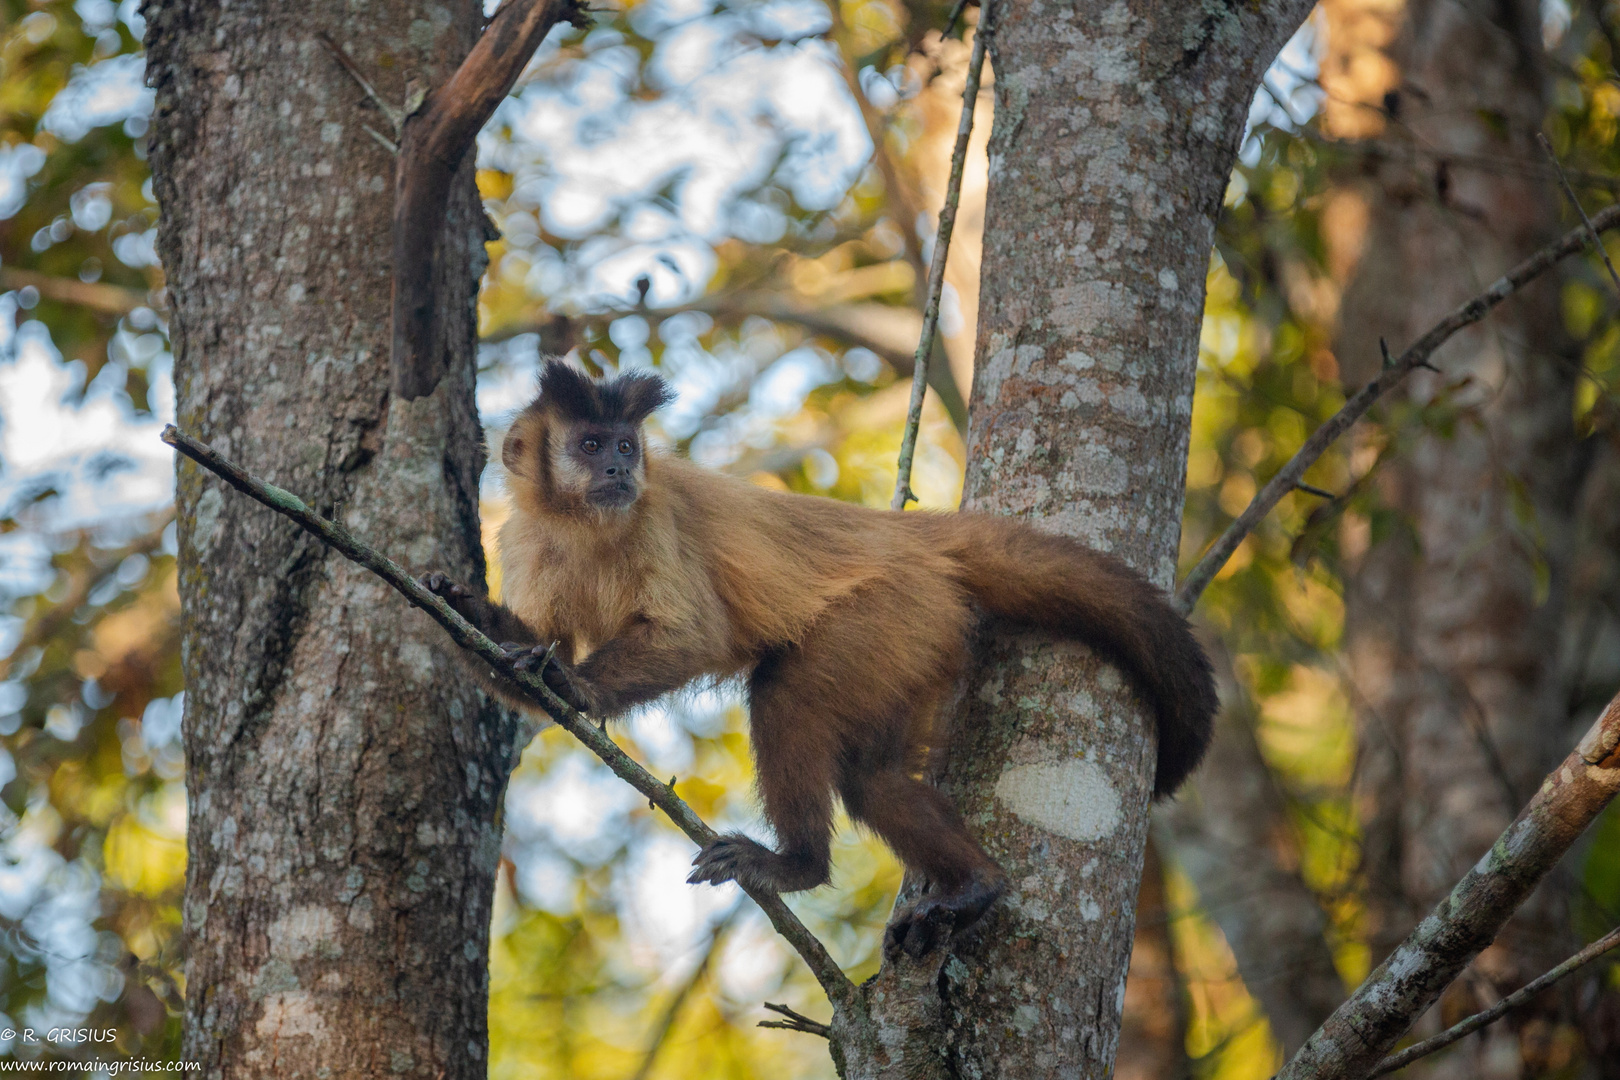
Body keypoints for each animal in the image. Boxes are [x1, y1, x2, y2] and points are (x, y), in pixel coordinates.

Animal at [421, 362, 1218, 965]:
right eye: (589, 444)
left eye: (623, 445)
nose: (620, 464)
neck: (580, 526)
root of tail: (906, 537)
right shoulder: (525, 539)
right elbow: (523, 661)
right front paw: (461, 610)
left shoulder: (652, 518)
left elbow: (691, 637)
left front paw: (574, 683)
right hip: (924, 639)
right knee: (873, 779)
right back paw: (978, 883)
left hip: (891, 612)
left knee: (787, 697)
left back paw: (797, 864)